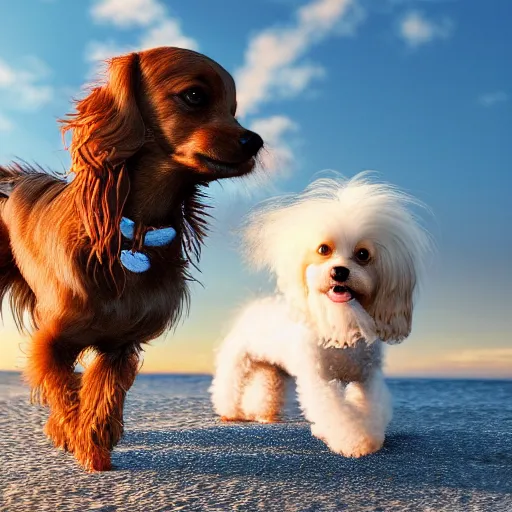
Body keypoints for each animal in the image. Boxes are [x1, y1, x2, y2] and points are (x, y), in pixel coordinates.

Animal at [0, 47, 264, 472]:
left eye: (233, 109)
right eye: (194, 96)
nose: (254, 141)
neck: (133, 233)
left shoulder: (121, 341)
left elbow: (100, 392)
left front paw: (94, 443)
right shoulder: (51, 338)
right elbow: (63, 388)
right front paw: (76, 438)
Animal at [208, 174, 432, 458]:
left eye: (363, 254)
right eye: (324, 249)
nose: (339, 272)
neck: (342, 322)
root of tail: (255, 306)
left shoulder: (367, 378)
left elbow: (371, 408)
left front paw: (369, 437)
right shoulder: (320, 379)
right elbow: (337, 413)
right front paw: (354, 442)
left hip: (272, 368)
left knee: (267, 388)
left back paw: (265, 415)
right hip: (239, 359)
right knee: (228, 385)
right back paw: (231, 412)